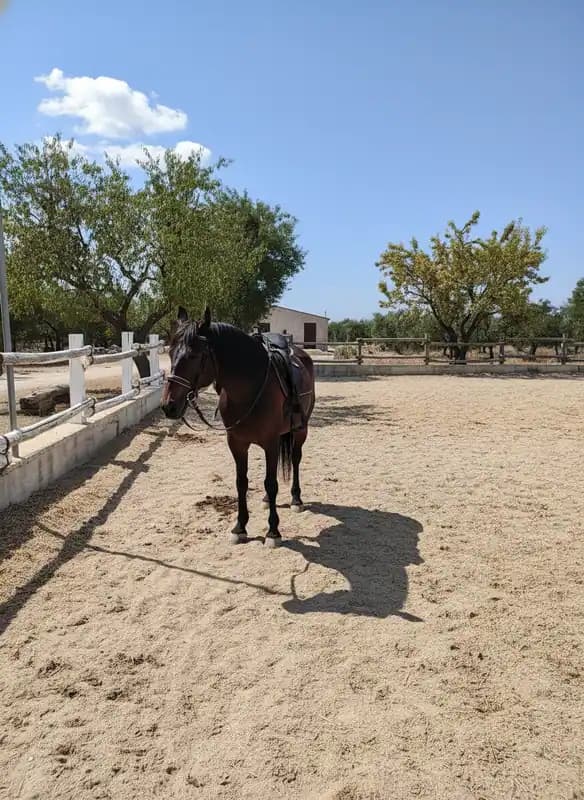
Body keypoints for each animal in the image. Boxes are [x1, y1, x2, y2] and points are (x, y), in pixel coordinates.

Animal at [161, 307, 316, 547]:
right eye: (170, 353)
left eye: (194, 356)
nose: (169, 406)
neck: (250, 388)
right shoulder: (237, 443)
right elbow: (241, 482)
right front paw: (240, 527)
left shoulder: (271, 443)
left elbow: (271, 483)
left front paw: (273, 532)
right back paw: (266, 500)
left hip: (301, 429)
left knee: (296, 458)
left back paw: (296, 499)